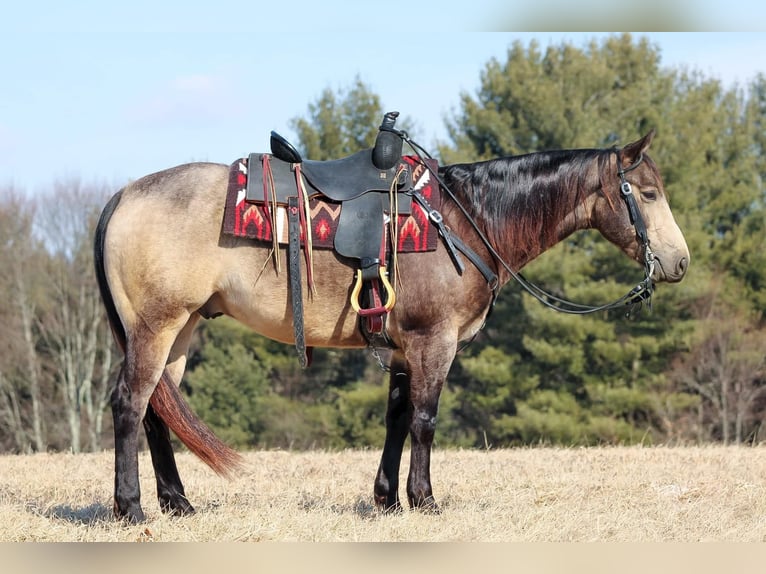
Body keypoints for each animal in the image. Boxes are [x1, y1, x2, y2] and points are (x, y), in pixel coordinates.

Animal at [94, 124, 688, 524]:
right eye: (648, 194)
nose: (679, 262)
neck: (464, 221)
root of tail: (123, 195)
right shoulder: (433, 342)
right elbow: (424, 421)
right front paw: (424, 499)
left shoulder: (404, 350)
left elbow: (397, 420)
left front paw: (387, 499)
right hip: (156, 326)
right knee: (130, 403)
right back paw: (131, 507)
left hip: (181, 330)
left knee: (157, 409)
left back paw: (178, 503)